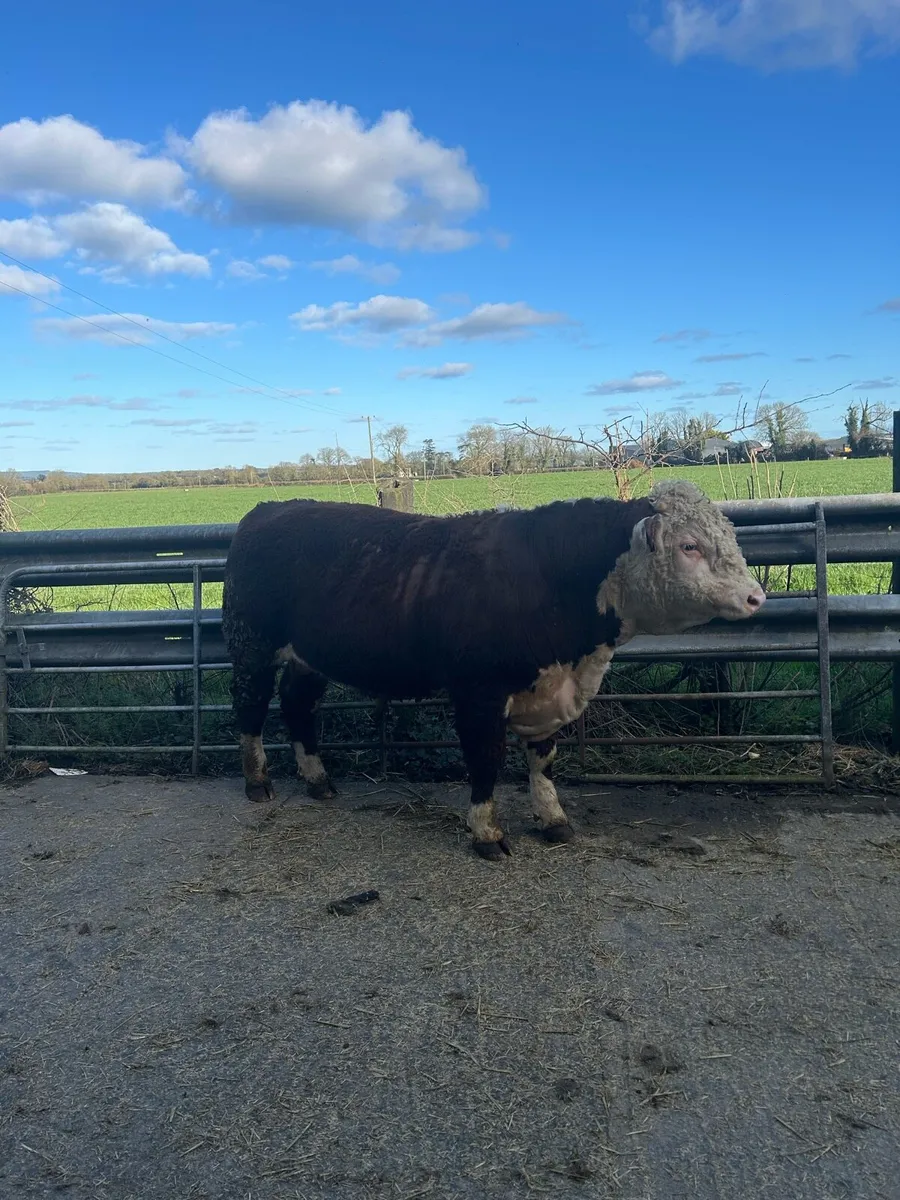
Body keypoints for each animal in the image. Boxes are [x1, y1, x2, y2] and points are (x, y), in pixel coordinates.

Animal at [222, 481, 764, 860]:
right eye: (690, 546)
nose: (756, 596)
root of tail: (269, 509)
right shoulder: (478, 692)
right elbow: (486, 759)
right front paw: (486, 832)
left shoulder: (548, 690)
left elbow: (542, 761)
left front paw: (553, 819)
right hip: (251, 645)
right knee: (250, 709)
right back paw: (257, 781)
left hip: (308, 657)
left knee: (297, 705)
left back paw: (318, 779)